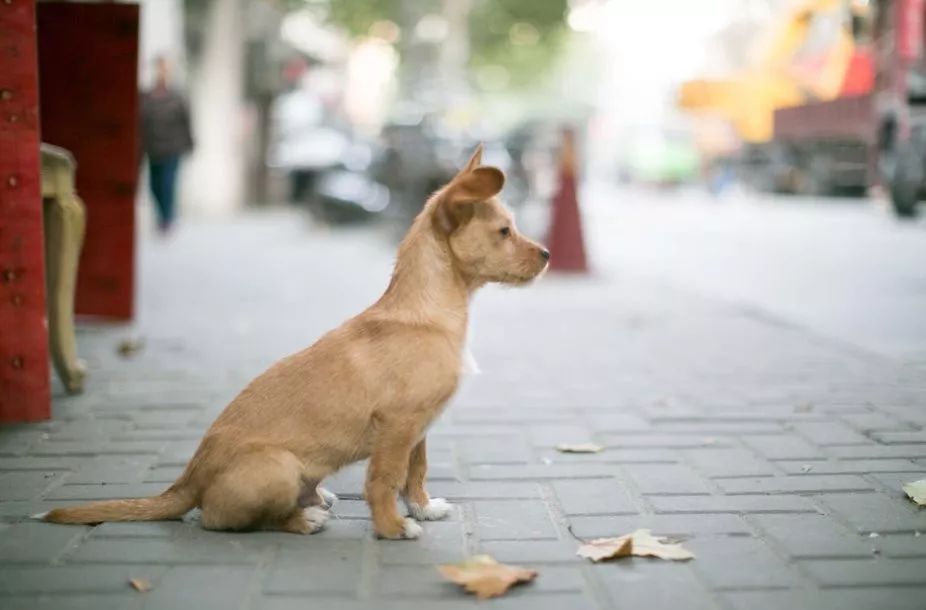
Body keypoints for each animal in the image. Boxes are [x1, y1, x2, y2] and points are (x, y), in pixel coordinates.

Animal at [43, 146, 548, 536]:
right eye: (505, 232)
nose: (546, 255)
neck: (428, 311)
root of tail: (189, 479)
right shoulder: (398, 425)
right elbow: (384, 479)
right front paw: (392, 527)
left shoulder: (418, 428)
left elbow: (414, 472)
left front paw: (423, 508)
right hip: (277, 468)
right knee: (221, 519)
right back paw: (302, 520)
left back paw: (316, 500)